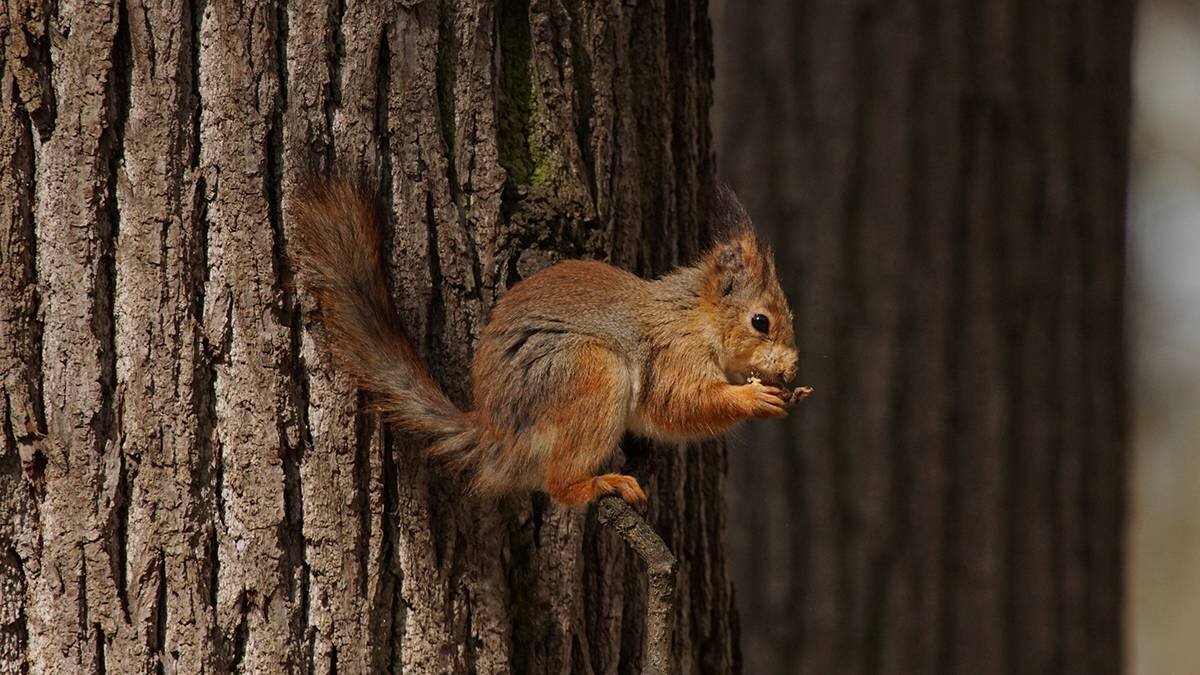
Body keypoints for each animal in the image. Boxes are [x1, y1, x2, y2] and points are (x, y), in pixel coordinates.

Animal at [289, 178, 806, 504]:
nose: (791, 369)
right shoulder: (673, 354)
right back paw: (597, 485)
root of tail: (497, 435)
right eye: (761, 321)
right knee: (558, 483)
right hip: (591, 373)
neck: (695, 317)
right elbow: (678, 403)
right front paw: (754, 398)